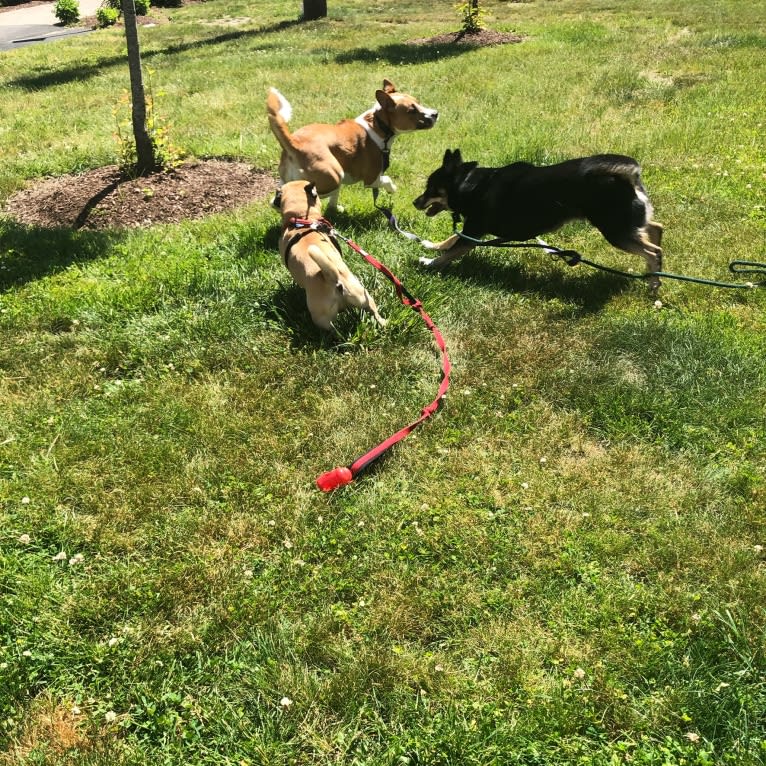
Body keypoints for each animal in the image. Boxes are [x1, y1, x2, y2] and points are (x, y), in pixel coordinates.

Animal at [268, 79, 438, 212]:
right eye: (411, 110)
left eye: (418, 102)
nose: (436, 113)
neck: (378, 123)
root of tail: (294, 143)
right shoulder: (372, 179)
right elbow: (387, 179)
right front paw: (392, 189)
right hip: (334, 176)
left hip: (290, 179)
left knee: (276, 200)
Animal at [276, 182, 388, 334]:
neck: (303, 218)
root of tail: (334, 279)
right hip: (363, 295)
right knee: (375, 313)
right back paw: (384, 322)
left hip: (321, 318)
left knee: (334, 331)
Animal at [414, 149, 664, 292]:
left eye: (430, 188)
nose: (415, 202)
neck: (470, 184)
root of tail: (626, 176)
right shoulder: (473, 232)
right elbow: (449, 241)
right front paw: (431, 245)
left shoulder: (472, 234)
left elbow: (450, 251)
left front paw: (429, 262)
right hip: (627, 222)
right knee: (656, 228)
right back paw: (653, 272)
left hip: (615, 230)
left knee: (653, 251)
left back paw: (654, 282)